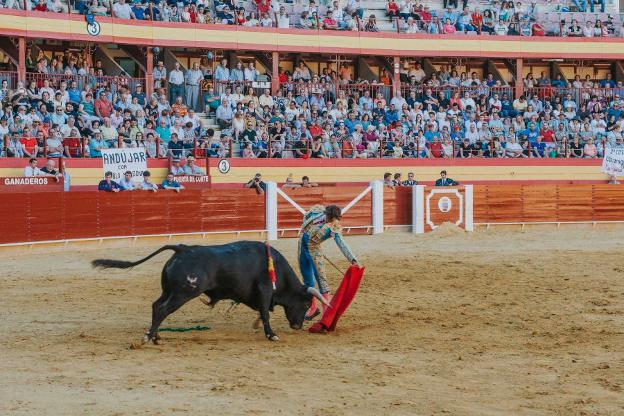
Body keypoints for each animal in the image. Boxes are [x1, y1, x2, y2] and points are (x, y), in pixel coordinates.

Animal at [92, 240, 330, 342]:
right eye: (306, 303)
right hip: (182, 294)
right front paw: (272, 335)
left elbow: (261, 313)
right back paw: (149, 337)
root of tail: (183, 249)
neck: (276, 268)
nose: (297, 326)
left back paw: (156, 335)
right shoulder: (264, 291)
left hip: (169, 290)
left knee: (156, 306)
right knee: (162, 310)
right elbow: (264, 313)